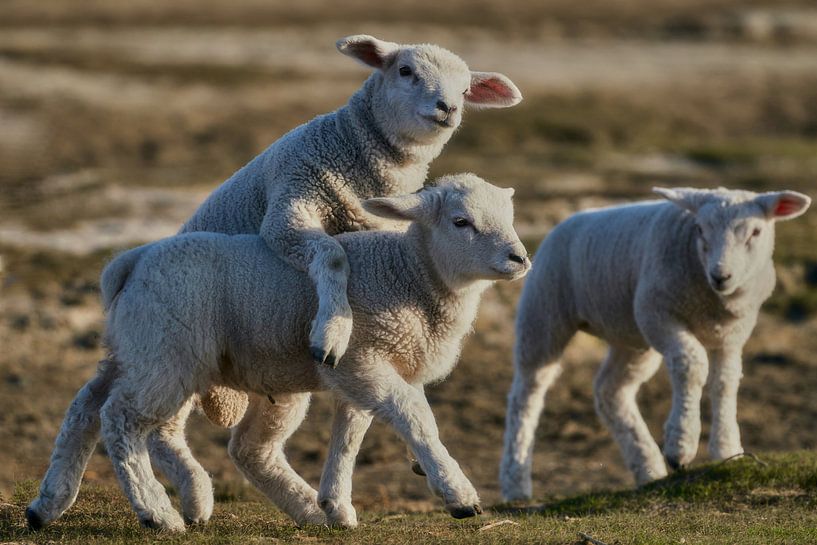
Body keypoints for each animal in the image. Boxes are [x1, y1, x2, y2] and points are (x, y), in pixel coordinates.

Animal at [29, 174, 530, 532]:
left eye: (510, 217)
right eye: (460, 222)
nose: (520, 259)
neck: (409, 274)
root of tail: (133, 261)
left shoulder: (355, 372)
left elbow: (350, 436)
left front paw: (337, 504)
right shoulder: (365, 358)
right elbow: (414, 416)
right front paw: (458, 494)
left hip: (139, 348)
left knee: (87, 408)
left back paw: (49, 503)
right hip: (166, 352)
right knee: (121, 419)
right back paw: (158, 513)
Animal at [499, 186, 811, 501]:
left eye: (756, 231)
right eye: (700, 229)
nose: (721, 276)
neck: (713, 301)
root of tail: (567, 221)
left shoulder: (732, 335)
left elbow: (726, 381)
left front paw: (727, 450)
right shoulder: (658, 314)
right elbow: (691, 364)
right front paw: (681, 445)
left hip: (630, 335)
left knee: (611, 391)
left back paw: (648, 467)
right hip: (544, 313)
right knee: (527, 394)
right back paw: (516, 482)